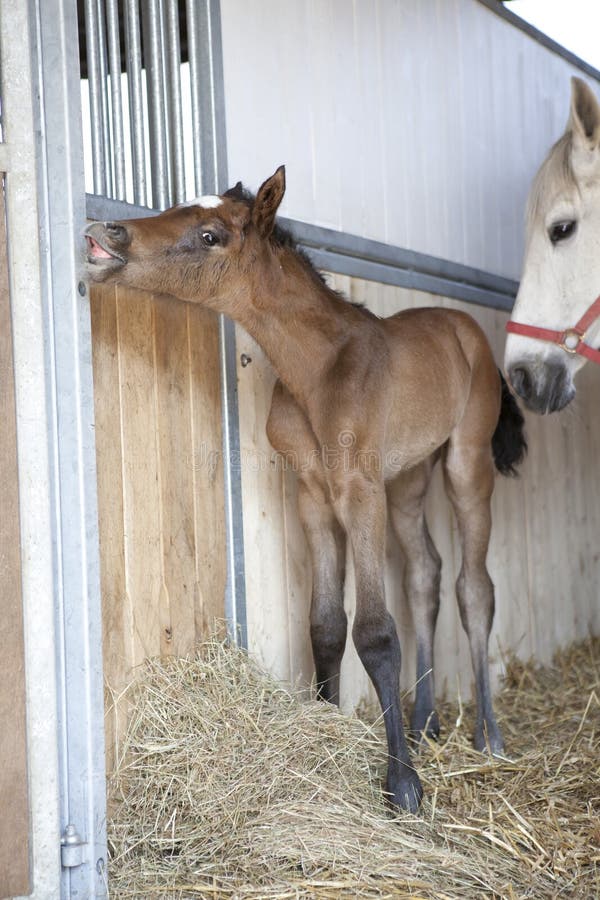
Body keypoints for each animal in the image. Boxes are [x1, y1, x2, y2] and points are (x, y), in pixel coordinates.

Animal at [85, 167, 526, 813]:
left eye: (211, 235)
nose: (104, 232)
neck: (318, 369)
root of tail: (464, 328)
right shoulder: (314, 499)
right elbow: (325, 625)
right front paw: (329, 728)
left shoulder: (360, 494)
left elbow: (375, 632)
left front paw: (403, 785)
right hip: (409, 478)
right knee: (425, 575)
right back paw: (425, 721)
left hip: (465, 465)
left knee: (475, 587)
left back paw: (488, 735)